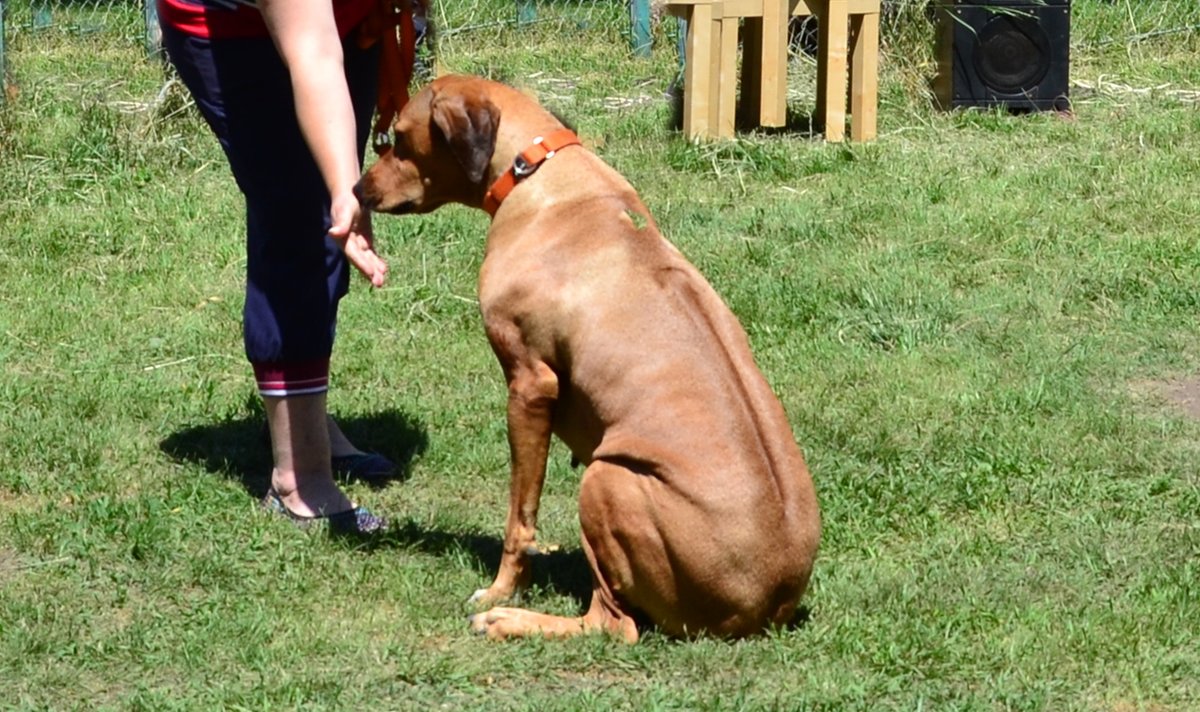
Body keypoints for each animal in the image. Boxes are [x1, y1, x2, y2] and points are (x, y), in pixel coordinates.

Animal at [355, 75, 820, 643]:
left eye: (398, 138)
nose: (357, 190)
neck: (537, 175)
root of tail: (768, 605)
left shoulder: (530, 385)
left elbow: (519, 516)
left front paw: (501, 590)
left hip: (608, 480)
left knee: (614, 624)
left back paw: (510, 620)